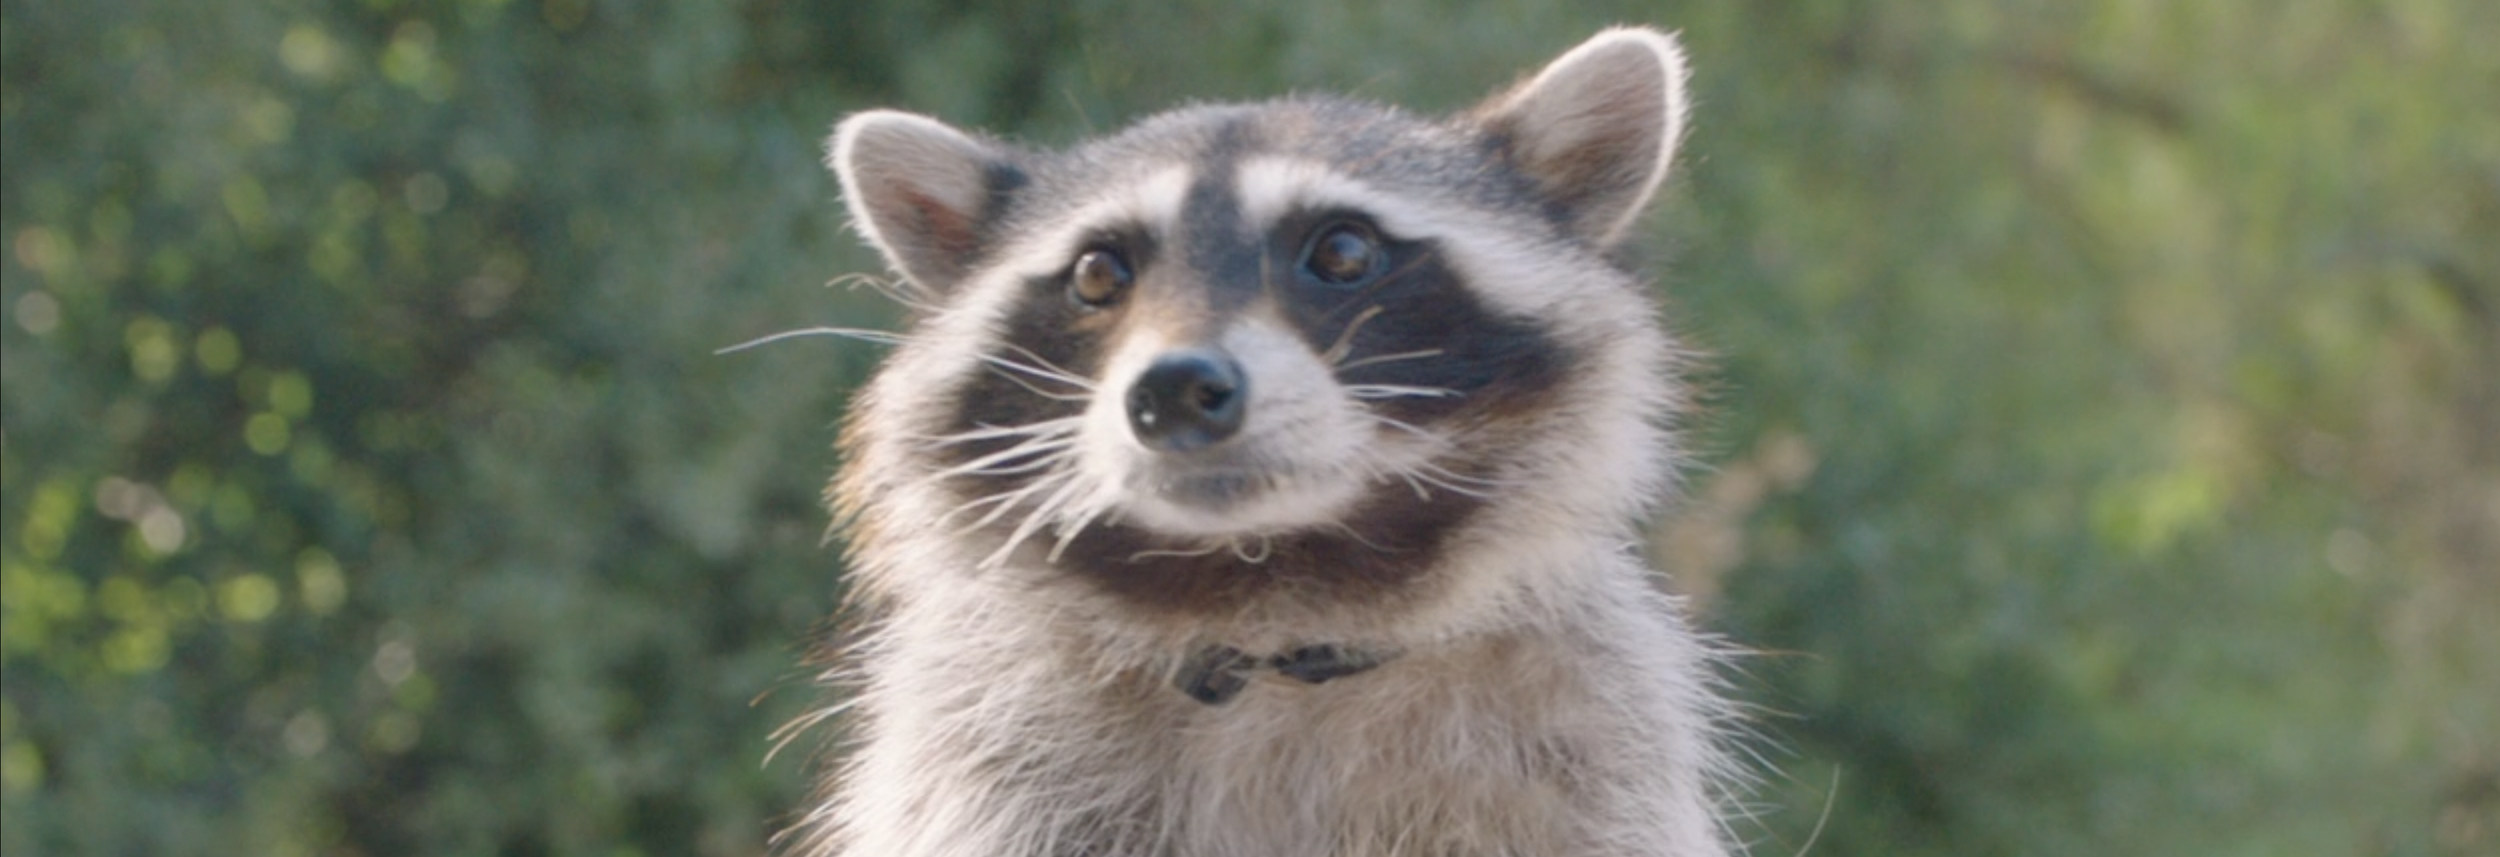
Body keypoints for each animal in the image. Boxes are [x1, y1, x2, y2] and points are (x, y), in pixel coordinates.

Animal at [789, 26, 1739, 857]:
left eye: (1344, 250)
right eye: (1098, 272)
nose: (1173, 389)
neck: (1268, 606)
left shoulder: (1589, 754)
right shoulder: (987, 767)